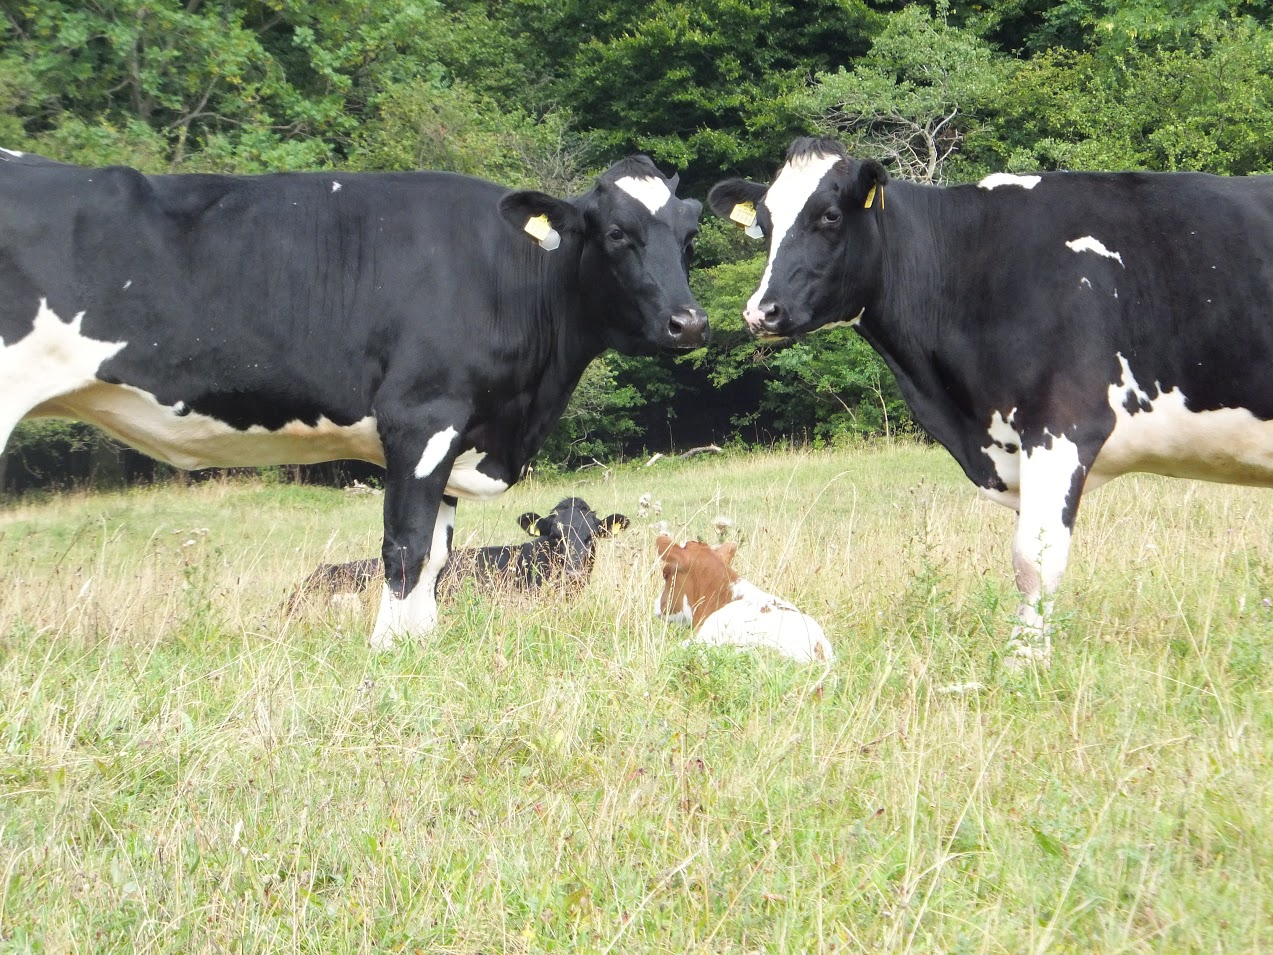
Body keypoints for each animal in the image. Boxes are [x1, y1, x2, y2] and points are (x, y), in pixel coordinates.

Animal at [712, 138, 1273, 667]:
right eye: (763, 222)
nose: (761, 311)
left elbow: (1035, 560)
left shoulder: (1064, 422)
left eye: (829, 215)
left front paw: (1025, 660)